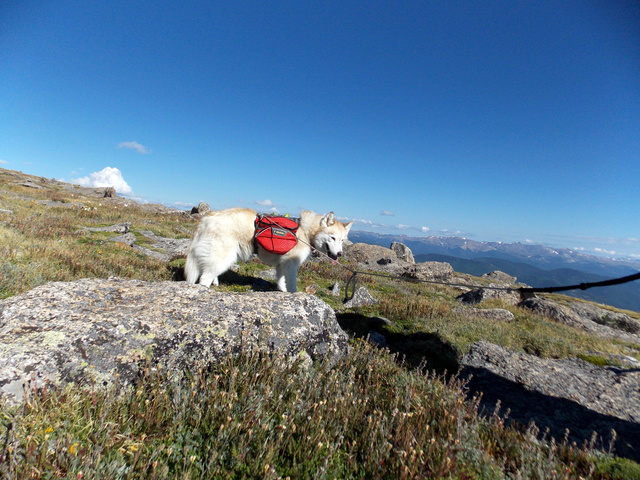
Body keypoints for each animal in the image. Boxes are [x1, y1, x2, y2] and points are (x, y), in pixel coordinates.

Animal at [185, 207, 352, 292]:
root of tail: (207, 218)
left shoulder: (282, 264)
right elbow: (292, 284)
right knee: (204, 277)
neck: (305, 231)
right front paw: (294, 296)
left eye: (342, 240)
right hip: (224, 255)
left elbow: (281, 281)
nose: (339, 254)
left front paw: (282, 291)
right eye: (332, 238)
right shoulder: (291, 264)